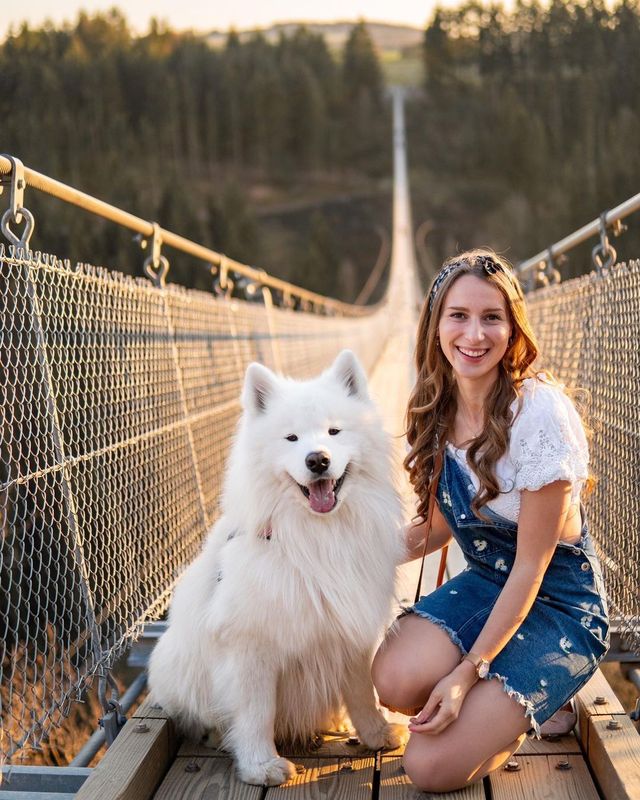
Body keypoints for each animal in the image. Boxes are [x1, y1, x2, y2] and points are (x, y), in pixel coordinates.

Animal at [148, 352, 402, 788]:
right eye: (292, 439)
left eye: (334, 431)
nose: (318, 460)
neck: (315, 537)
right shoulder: (251, 647)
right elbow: (256, 712)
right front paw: (260, 766)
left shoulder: (350, 630)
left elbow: (361, 692)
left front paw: (376, 735)